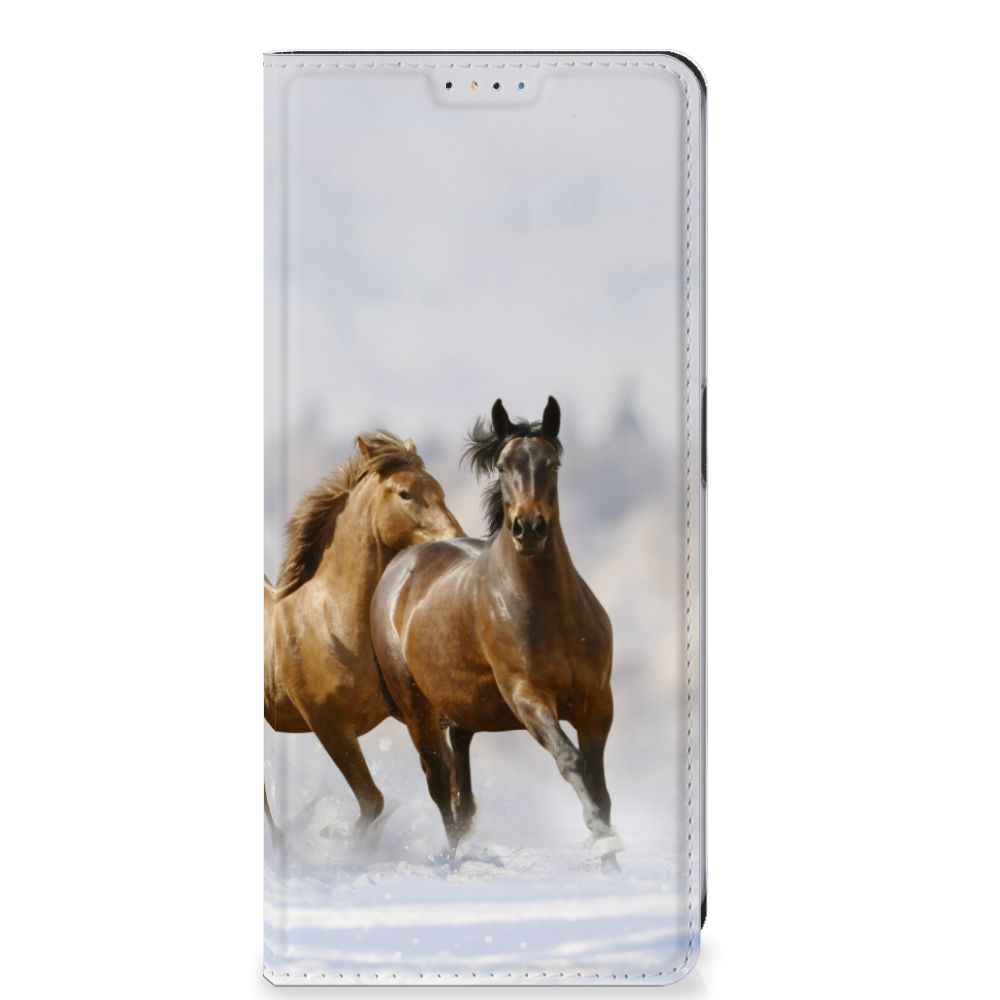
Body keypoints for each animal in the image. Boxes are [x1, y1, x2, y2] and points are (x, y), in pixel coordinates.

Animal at [264, 431, 463, 839]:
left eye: (439, 489)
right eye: (404, 493)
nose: (456, 538)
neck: (332, 623)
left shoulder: (415, 714)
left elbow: (446, 784)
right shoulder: (330, 727)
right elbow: (373, 801)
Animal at [370, 397, 622, 870]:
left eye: (553, 464)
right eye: (504, 466)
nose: (529, 528)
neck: (549, 610)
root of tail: (400, 566)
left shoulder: (597, 703)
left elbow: (600, 786)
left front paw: (611, 858)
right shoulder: (527, 696)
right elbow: (570, 760)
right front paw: (602, 840)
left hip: (462, 708)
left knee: (461, 782)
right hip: (416, 709)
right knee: (439, 783)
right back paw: (453, 858)